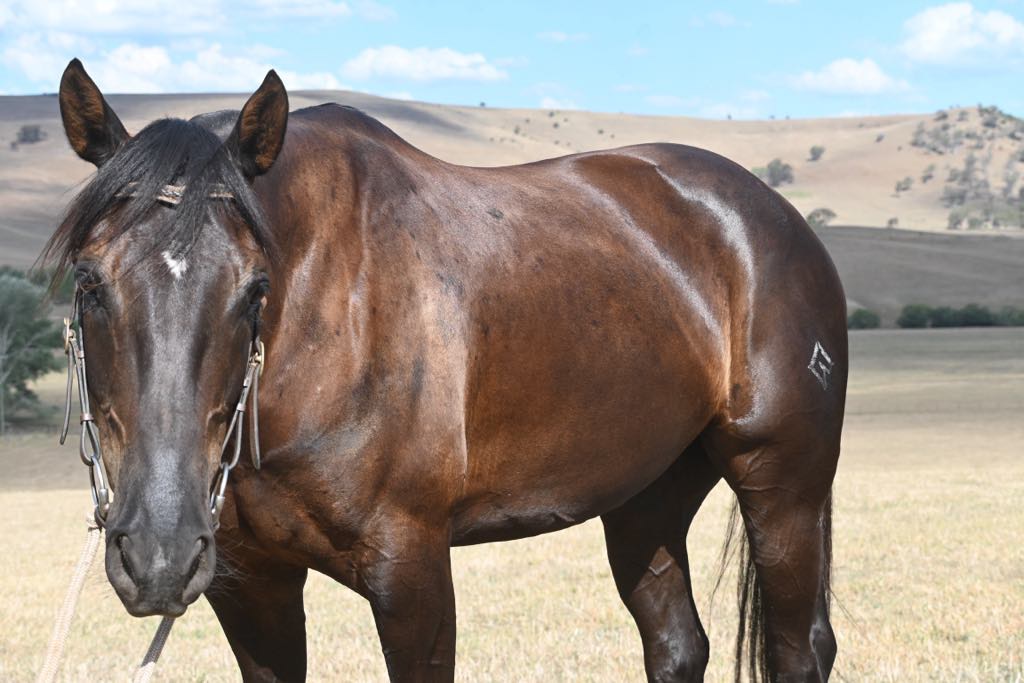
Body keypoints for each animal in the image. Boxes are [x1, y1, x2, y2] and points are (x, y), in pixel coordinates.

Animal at [45, 58, 847, 682]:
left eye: (254, 288)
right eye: (89, 281)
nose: (158, 550)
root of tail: (777, 216)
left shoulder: (412, 574)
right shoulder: (251, 584)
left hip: (782, 490)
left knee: (798, 649)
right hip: (646, 497)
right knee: (678, 645)